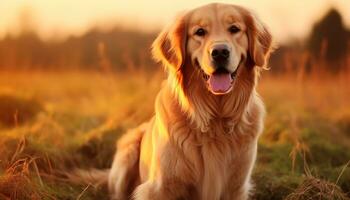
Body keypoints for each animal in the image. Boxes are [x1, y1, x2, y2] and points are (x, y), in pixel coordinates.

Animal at [108, 2, 272, 199]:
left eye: (234, 29)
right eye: (200, 32)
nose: (220, 52)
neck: (214, 119)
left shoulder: (236, 187)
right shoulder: (160, 187)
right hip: (128, 151)